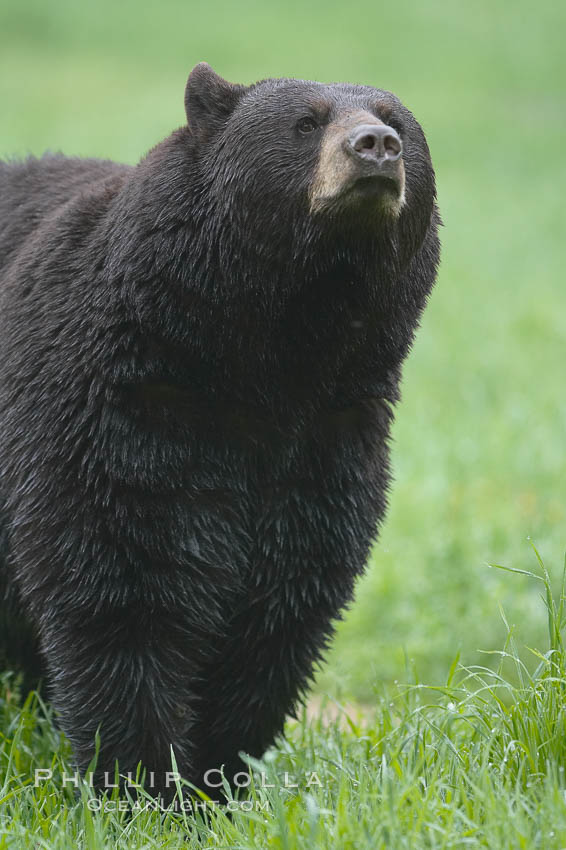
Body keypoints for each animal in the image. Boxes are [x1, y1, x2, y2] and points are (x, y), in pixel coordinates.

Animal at [0, 64, 444, 796]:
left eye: (397, 120)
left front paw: (219, 776)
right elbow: (124, 590)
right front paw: (143, 785)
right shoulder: (116, 414)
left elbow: (279, 610)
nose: (377, 147)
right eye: (305, 122)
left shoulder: (328, 445)